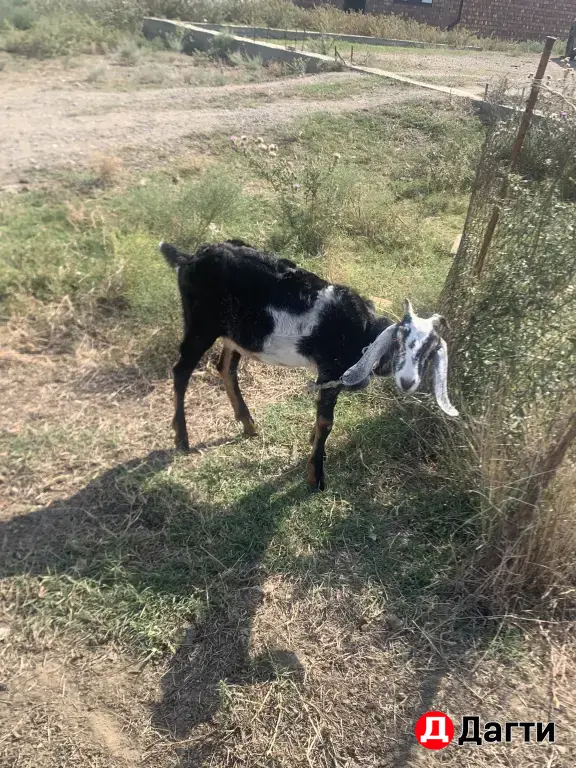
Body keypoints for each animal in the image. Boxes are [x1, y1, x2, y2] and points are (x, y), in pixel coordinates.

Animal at [160, 239, 458, 490]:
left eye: (429, 351)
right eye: (401, 343)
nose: (408, 382)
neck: (362, 333)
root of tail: (188, 258)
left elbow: (320, 419)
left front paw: (313, 443)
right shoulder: (329, 372)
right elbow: (327, 421)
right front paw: (316, 476)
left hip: (236, 332)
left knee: (225, 367)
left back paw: (247, 423)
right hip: (200, 324)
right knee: (181, 370)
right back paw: (182, 438)